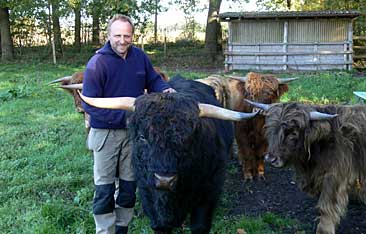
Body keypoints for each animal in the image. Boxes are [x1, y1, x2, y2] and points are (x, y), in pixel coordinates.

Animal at [80, 76, 258, 233]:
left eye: (188, 138)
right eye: (142, 136)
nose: (165, 180)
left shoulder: (208, 193)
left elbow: (199, 225)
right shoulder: (147, 192)